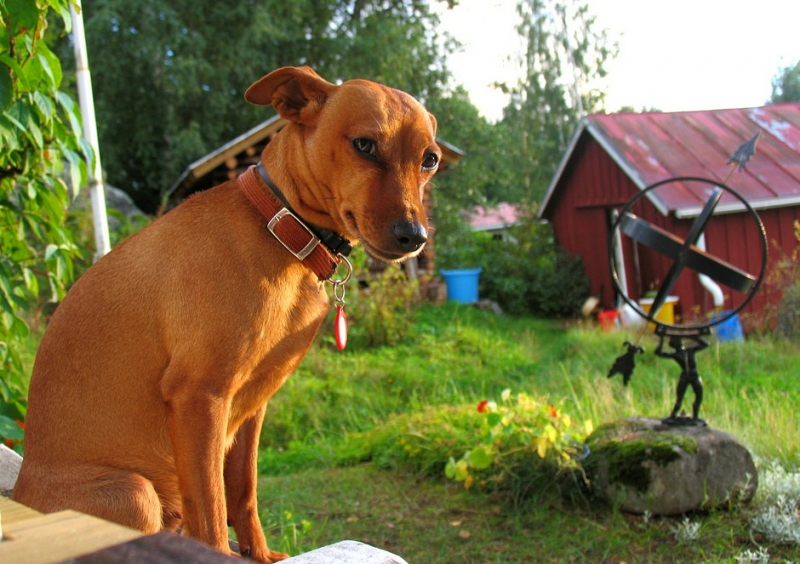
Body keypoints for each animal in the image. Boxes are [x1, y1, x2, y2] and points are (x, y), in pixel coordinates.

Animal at [12, 68, 440, 560]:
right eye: (364, 145)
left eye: (429, 160)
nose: (415, 236)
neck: (280, 232)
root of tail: (20, 491)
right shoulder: (201, 399)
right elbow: (213, 514)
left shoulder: (252, 406)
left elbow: (243, 492)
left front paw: (260, 553)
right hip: (134, 492)